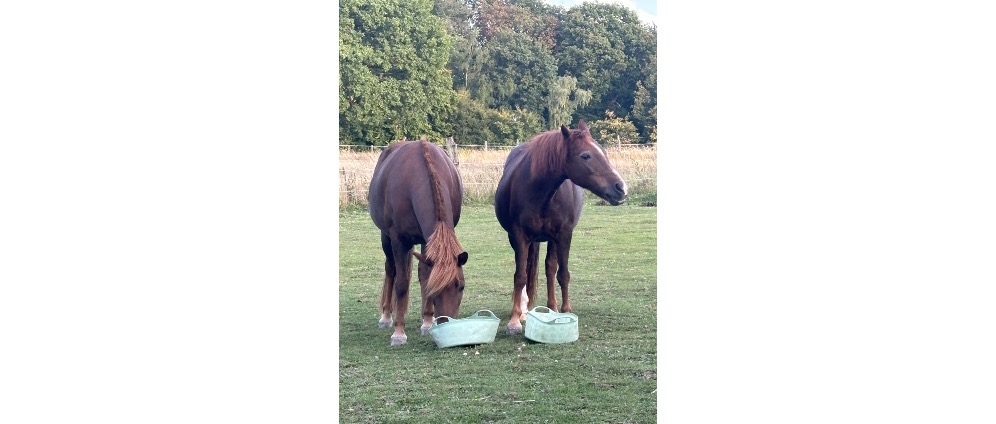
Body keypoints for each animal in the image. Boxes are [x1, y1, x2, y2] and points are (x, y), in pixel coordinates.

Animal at [368, 138, 469, 346]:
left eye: (461, 286)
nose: (446, 322)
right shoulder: (398, 240)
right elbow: (402, 283)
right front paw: (399, 333)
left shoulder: (427, 240)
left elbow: (426, 275)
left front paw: (428, 322)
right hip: (386, 238)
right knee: (391, 270)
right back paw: (386, 317)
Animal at [494, 120, 627, 334]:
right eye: (585, 155)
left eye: (604, 152)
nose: (621, 188)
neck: (540, 193)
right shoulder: (519, 236)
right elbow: (520, 276)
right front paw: (514, 320)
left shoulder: (564, 234)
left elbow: (562, 274)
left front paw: (566, 310)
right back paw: (524, 310)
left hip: (552, 239)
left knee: (550, 268)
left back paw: (553, 308)